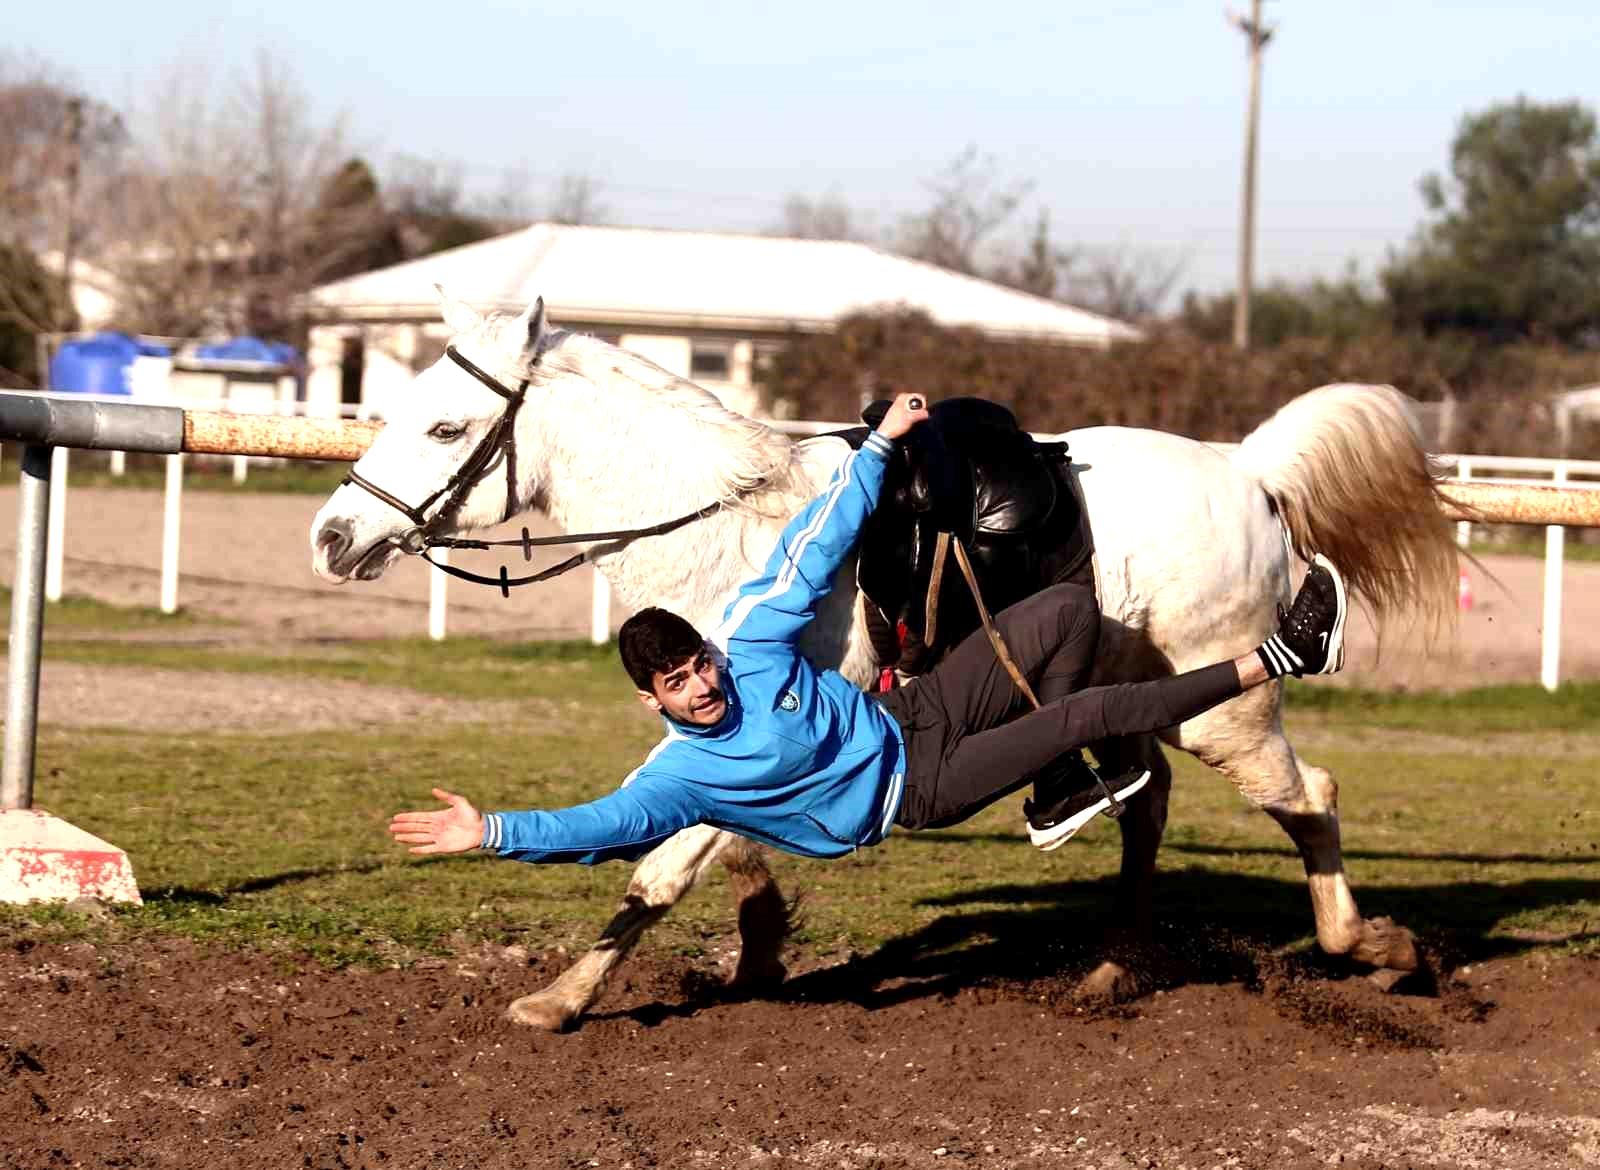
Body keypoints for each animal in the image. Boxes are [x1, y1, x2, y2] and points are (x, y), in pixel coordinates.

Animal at [305, 294, 1459, 1037]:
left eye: (444, 425)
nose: (331, 537)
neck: (730, 520)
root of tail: (1248, 473)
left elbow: (665, 866)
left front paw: (562, 999)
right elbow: (722, 845)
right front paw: (760, 945)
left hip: (1225, 714)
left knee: (1310, 796)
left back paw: (1377, 950)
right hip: (1134, 697)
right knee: (1146, 800)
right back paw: (1109, 967)